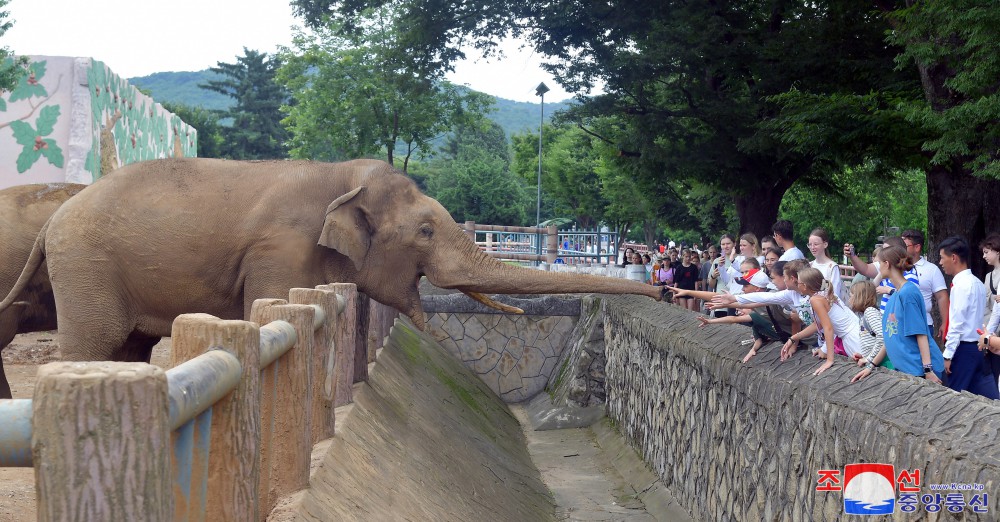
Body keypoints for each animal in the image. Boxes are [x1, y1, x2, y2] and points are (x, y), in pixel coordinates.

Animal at [1, 158, 664, 366]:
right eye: (426, 230)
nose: (664, 292)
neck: (343, 175)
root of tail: (60, 217)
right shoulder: (278, 253)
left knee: (132, 348)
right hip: (87, 266)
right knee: (94, 345)